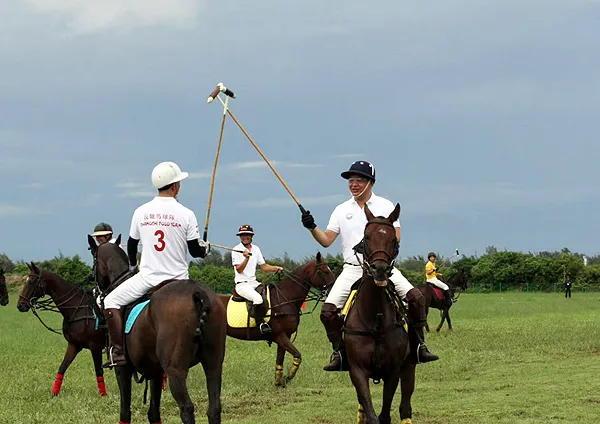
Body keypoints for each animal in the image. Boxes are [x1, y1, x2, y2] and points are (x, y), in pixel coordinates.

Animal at [16, 262, 108, 398]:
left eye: (32, 281)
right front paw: (54, 393)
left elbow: (98, 371)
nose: (20, 305)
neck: (77, 309)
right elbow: (62, 367)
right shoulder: (74, 345)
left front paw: (103, 395)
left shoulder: (95, 347)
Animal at [96, 240, 227, 424]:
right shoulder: (156, 371)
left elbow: (125, 412)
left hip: (176, 370)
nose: (96, 292)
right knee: (214, 408)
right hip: (213, 363)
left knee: (187, 408)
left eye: (94, 259)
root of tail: (198, 293)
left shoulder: (122, 369)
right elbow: (154, 412)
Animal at [218, 253, 336, 386]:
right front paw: (288, 377)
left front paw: (279, 382)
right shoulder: (280, 335)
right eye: (323, 271)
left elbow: (280, 360)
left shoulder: (285, 336)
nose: (333, 290)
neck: (286, 299)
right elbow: (297, 355)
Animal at [344, 204, 414, 422]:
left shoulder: (393, 371)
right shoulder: (357, 371)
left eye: (393, 239)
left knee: (405, 405)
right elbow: (370, 412)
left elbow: (385, 414)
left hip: (409, 366)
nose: (380, 269)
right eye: (366, 237)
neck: (374, 318)